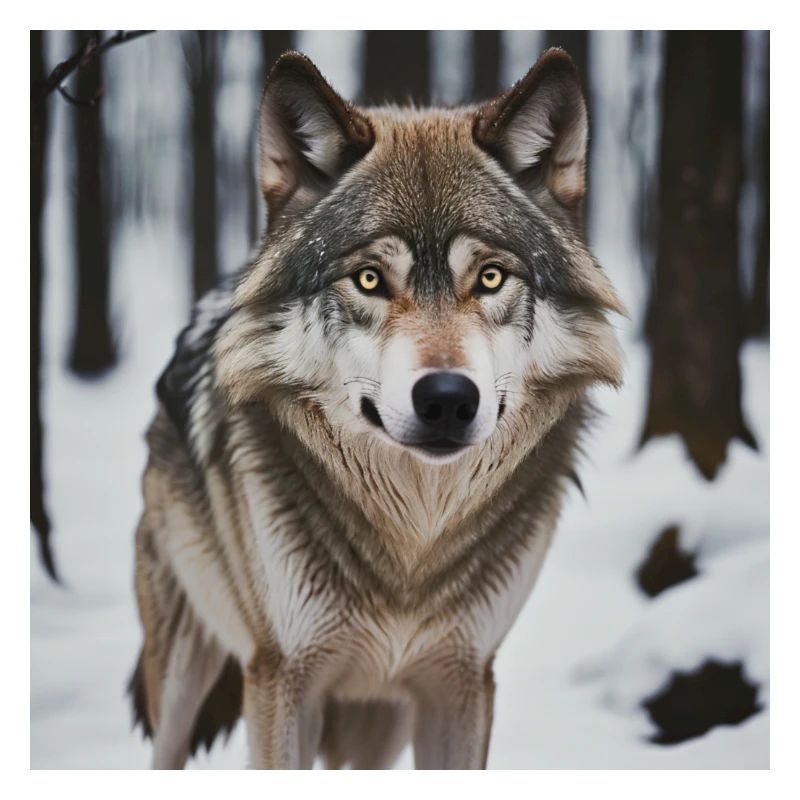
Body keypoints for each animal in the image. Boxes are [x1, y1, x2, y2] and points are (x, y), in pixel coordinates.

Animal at [129, 47, 624, 769]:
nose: (447, 400)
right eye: (369, 279)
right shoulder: (282, 680)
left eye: (491, 277)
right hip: (185, 677)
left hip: (376, 725)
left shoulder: (462, 681)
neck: (410, 545)